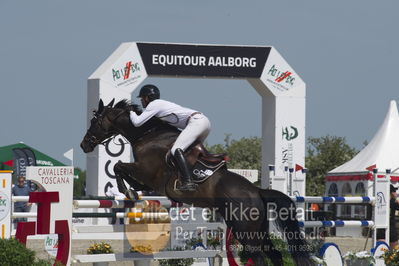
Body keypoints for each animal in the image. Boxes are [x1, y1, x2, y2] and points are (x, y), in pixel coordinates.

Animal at [79, 99, 314, 266]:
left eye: (94, 122)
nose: (84, 145)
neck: (147, 135)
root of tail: (257, 191)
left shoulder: (146, 171)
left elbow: (118, 166)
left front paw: (125, 191)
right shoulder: (147, 180)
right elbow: (129, 177)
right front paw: (132, 192)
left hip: (245, 231)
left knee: (260, 258)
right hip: (258, 230)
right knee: (275, 255)